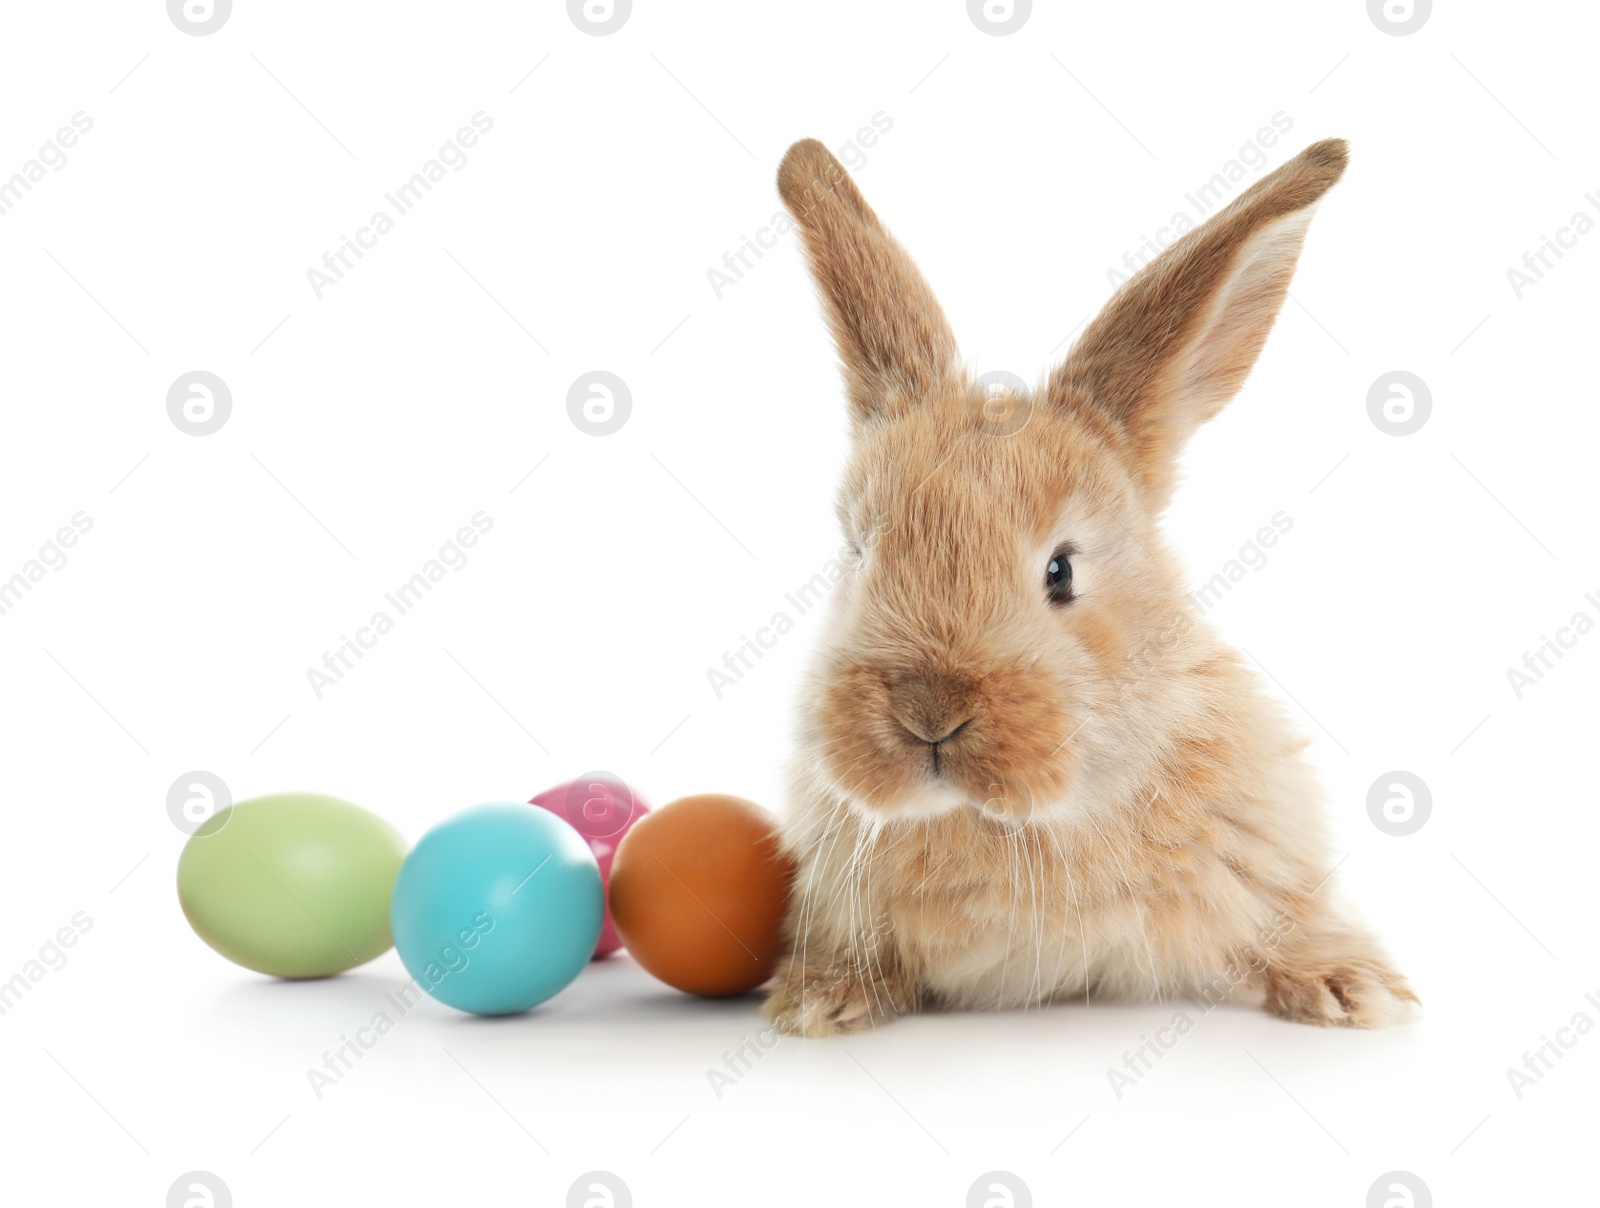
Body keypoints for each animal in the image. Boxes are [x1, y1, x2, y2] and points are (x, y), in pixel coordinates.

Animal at [764, 134, 1427, 1036]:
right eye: (858, 553)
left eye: (1061, 571)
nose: (929, 712)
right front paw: (819, 999)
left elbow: (1293, 920)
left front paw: (1355, 990)